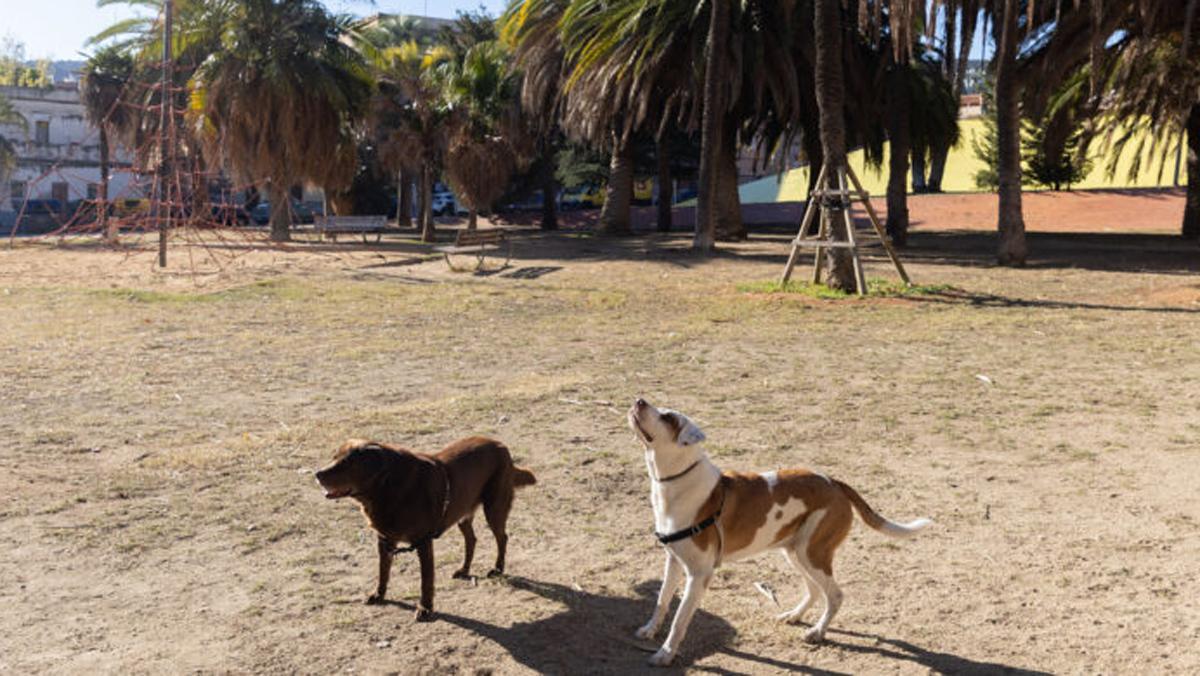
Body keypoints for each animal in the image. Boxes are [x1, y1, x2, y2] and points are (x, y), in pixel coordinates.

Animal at [314, 437, 535, 619]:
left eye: (345, 463)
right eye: (334, 457)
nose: (317, 474)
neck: (387, 486)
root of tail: (501, 445)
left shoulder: (423, 542)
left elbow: (426, 580)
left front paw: (425, 607)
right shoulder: (384, 540)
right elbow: (383, 572)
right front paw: (379, 594)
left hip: (494, 508)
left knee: (502, 537)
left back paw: (497, 568)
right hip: (462, 513)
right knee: (471, 539)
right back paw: (464, 569)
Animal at [628, 398, 926, 667]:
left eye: (668, 417)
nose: (639, 400)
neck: (675, 484)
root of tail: (834, 483)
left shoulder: (699, 574)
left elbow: (679, 619)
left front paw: (665, 654)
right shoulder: (674, 561)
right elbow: (662, 600)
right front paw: (650, 631)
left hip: (812, 553)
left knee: (835, 595)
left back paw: (817, 632)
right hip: (796, 552)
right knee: (815, 590)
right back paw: (794, 616)